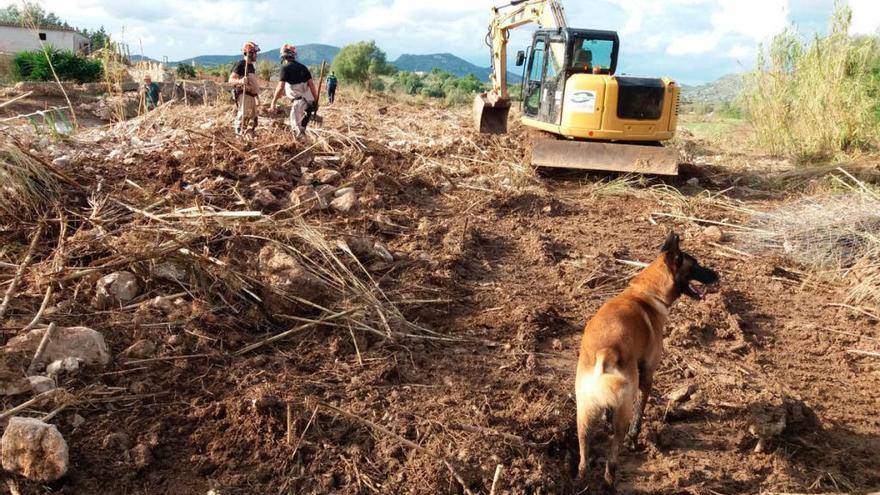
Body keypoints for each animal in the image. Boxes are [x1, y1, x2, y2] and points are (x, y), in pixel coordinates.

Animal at [576, 232, 720, 484]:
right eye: (696, 265)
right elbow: (640, 413)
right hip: (625, 402)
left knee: (583, 454)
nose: (717, 275)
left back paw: (582, 479)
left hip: (583, 411)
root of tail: (605, 351)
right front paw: (634, 440)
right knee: (614, 452)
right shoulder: (647, 375)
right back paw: (611, 477)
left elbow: (607, 412)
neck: (646, 292)